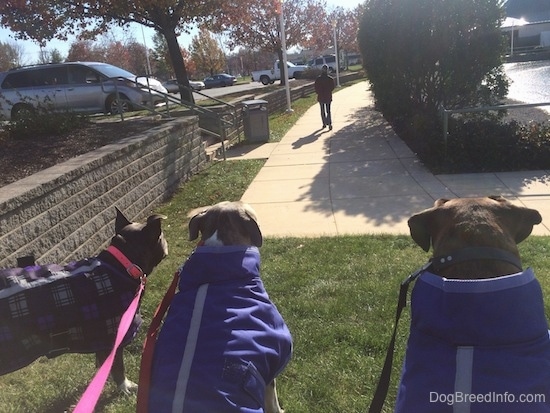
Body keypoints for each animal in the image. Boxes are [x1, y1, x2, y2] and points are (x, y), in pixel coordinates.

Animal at [0, 208, 168, 392]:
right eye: (161, 237)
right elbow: (118, 367)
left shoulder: (101, 341)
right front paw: (125, 387)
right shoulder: (113, 339)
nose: (166, 242)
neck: (122, 265)